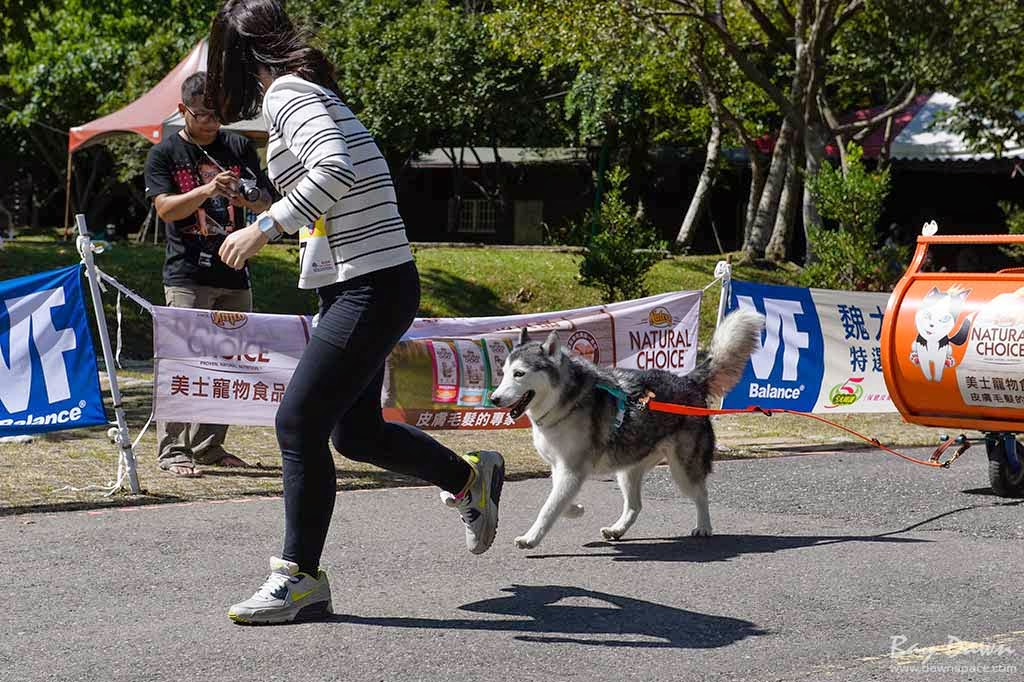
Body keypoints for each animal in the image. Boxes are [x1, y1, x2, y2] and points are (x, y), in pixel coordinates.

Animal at [491, 307, 765, 548]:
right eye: (504, 372)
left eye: (519, 373)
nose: (494, 399)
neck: (565, 402)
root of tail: (688, 381)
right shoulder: (561, 468)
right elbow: (558, 500)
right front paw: (575, 509)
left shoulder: (572, 470)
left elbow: (548, 508)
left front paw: (531, 538)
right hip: (627, 468)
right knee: (635, 506)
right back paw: (617, 530)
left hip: (683, 469)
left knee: (701, 494)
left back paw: (704, 527)